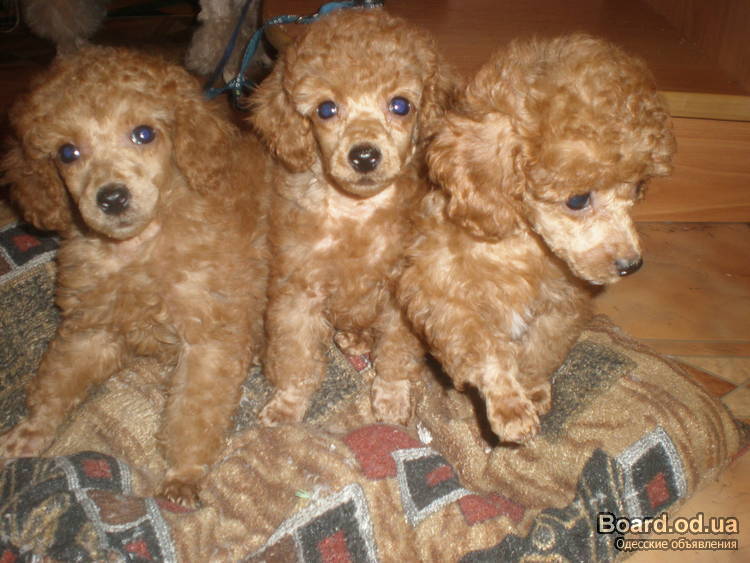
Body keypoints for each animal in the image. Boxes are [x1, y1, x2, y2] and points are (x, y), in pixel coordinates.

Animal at [0, 46, 270, 506]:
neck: (138, 249)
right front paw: (32, 431)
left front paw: (183, 474)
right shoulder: (89, 327)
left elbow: (194, 409)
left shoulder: (210, 335)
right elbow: (58, 377)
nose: (111, 197)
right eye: (67, 153)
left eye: (144, 134)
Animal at [248, 8, 456, 426]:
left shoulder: (401, 294)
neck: (356, 212)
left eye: (400, 105)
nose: (364, 156)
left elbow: (396, 353)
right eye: (326, 109)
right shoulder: (299, 291)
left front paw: (391, 398)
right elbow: (296, 358)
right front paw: (288, 404)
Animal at [399, 34, 676, 443]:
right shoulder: (445, 296)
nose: (631, 265)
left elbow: (540, 353)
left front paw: (532, 391)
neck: (523, 244)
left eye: (638, 187)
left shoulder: (560, 307)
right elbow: (485, 348)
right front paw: (509, 407)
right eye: (577, 200)